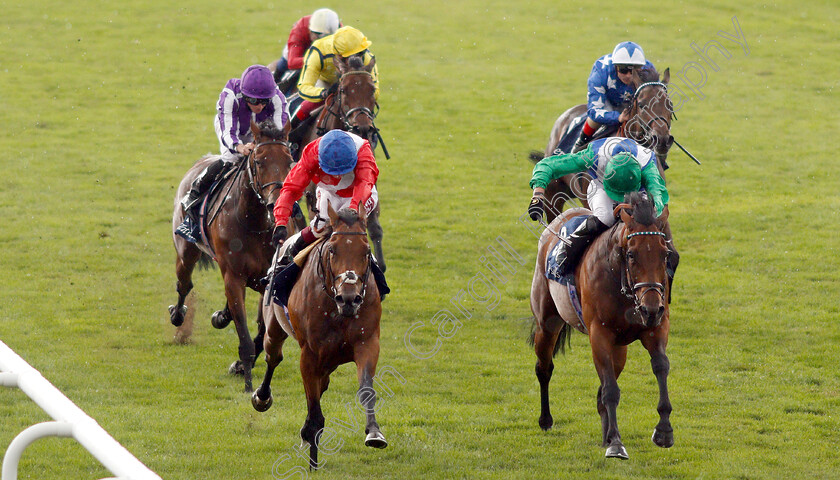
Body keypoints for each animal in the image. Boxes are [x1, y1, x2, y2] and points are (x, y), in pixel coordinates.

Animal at [169, 118, 294, 392]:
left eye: (290, 161)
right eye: (259, 161)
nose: (276, 203)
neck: (254, 221)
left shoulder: (267, 279)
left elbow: (261, 333)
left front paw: (241, 367)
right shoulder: (234, 276)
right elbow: (245, 337)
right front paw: (247, 383)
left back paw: (221, 315)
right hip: (186, 251)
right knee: (184, 283)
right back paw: (178, 314)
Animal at [253, 203, 388, 468]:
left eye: (367, 251)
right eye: (333, 250)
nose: (349, 298)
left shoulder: (367, 342)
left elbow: (366, 389)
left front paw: (374, 432)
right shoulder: (310, 354)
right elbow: (314, 407)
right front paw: (312, 461)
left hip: (331, 358)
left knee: (322, 382)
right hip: (274, 328)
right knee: (273, 358)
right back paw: (262, 397)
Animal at [532, 192, 676, 462]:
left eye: (664, 254)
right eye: (631, 255)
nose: (651, 308)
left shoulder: (656, 328)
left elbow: (660, 366)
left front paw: (663, 431)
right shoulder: (599, 335)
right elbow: (610, 390)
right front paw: (616, 443)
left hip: (620, 348)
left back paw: (605, 434)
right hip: (547, 323)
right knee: (544, 368)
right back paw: (546, 420)